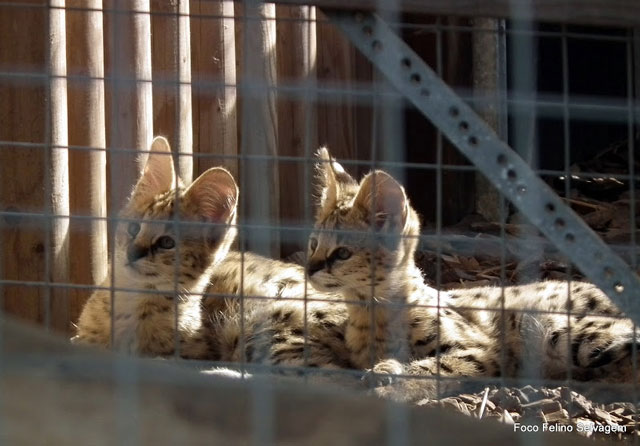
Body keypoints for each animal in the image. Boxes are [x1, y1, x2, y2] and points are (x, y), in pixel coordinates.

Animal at [308, 148, 636, 402]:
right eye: (313, 244)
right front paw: (385, 372)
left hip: (561, 331)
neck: (369, 308)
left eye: (342, 253)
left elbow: (435, 369)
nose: (309, 268)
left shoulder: (482, 351)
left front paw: (391, 389)